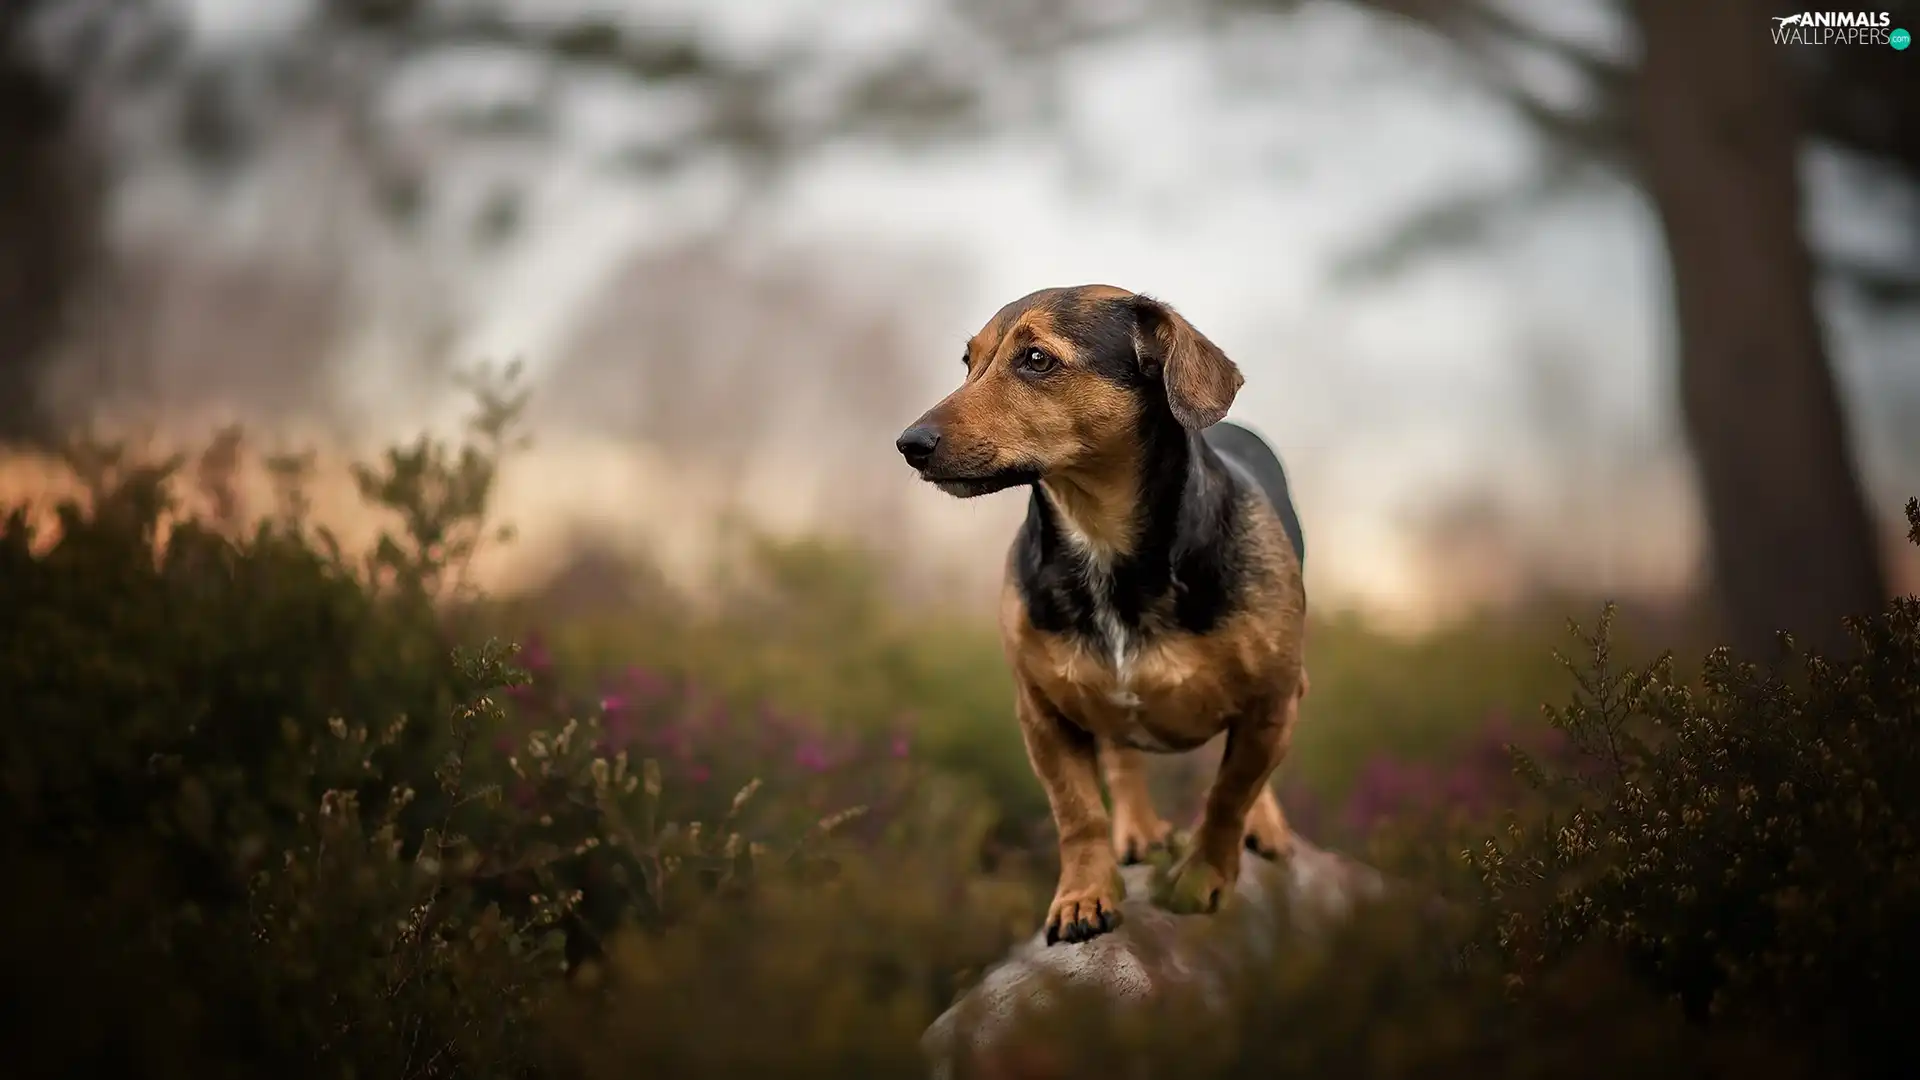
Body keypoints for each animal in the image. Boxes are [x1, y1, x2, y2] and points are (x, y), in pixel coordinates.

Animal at [894, 284, 1305, 941]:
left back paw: (1260, 827)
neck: (1102, 545)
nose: (910, 444)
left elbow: (1230, 793)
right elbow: (1078, 810)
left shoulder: (1269, 703)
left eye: (1036, 359)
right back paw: (1137, 830)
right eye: (968, 361)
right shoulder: (1042, 712)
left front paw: (1202, 878)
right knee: (1120, 755)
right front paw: (1084, 894)